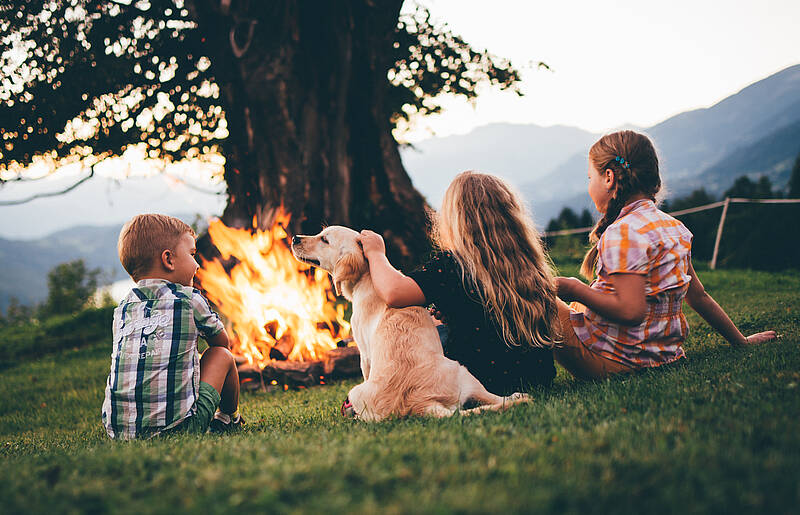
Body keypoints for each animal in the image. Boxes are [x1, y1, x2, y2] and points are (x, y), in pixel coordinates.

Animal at [290, 228, 532, 422]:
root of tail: (419, 405)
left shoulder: (364, 355)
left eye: (324, 239)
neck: (369, 277)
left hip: (460, 370)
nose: (294, 237)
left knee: (493, 398)